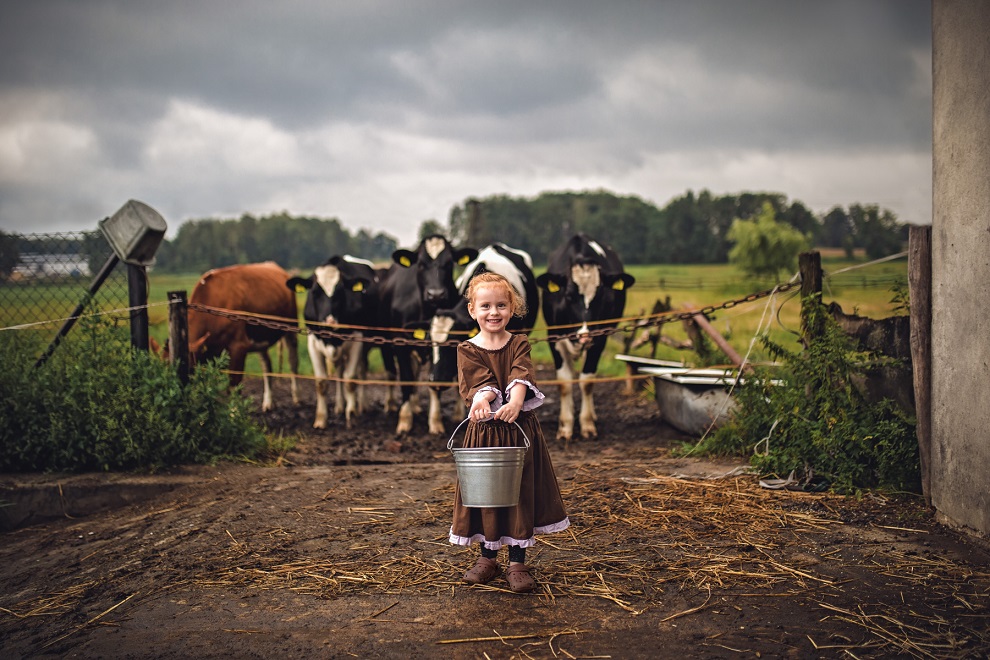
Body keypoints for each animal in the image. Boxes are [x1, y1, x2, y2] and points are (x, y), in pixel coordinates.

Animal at [188, 260, 300, 410]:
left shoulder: (239, 347)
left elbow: (234, 386)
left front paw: (233, 413)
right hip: (260, 337)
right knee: (267, 365)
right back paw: (268, 402)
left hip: (291, 327)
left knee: (293, 361)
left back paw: (296, 398)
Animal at [290, 253, 380, 428]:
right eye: (315, 292)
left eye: (340, 292)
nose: (329, 322)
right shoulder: (313, 341)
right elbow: (321, 382)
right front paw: (320, 419)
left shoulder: (357, 339)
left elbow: (350, 379)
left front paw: (351, 415)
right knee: (339, 371)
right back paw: (339, 406)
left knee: (361, 371)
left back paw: (362, 406)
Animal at [376, 235, 476, 436]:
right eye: (421, 264)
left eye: (449, 263)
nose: (436, 294)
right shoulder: (400, 345)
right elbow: (406, 378)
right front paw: (405, 420)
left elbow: (434, 382)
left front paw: (435, 422)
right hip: (385, 345)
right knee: (394, 372)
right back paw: (394, 405)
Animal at [536, 235, 636, 440]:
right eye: (568, 295)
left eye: (601, 295)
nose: (585, 335)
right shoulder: (554, 337)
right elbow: (564, 382)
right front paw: (565, 426)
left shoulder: (600, 338)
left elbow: (587, 381)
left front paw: (587, 423)